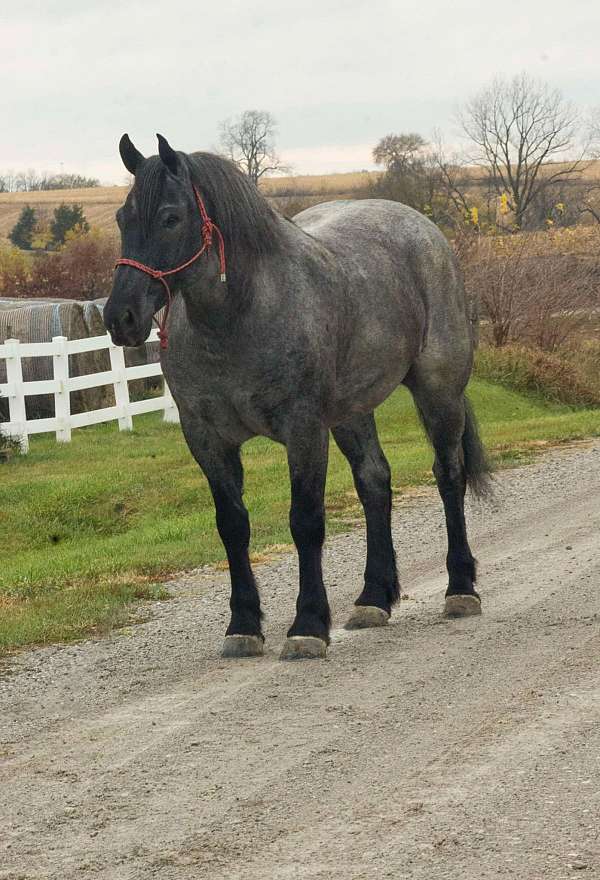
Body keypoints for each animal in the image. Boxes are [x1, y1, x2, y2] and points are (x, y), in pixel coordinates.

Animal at [103, 134, 490, 660]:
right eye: (122, 218)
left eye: (170, 217)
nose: (120, 317)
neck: (238, 316)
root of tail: (425, 229)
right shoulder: (206, 438)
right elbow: (232, 525)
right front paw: (243, 625)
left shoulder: (303, 429)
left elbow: (305, 520)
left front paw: (307, 624)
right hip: (351, 412)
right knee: (374, 482)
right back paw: (373, 598)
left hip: (439, 391)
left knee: (449, 476)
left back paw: (460, 589)